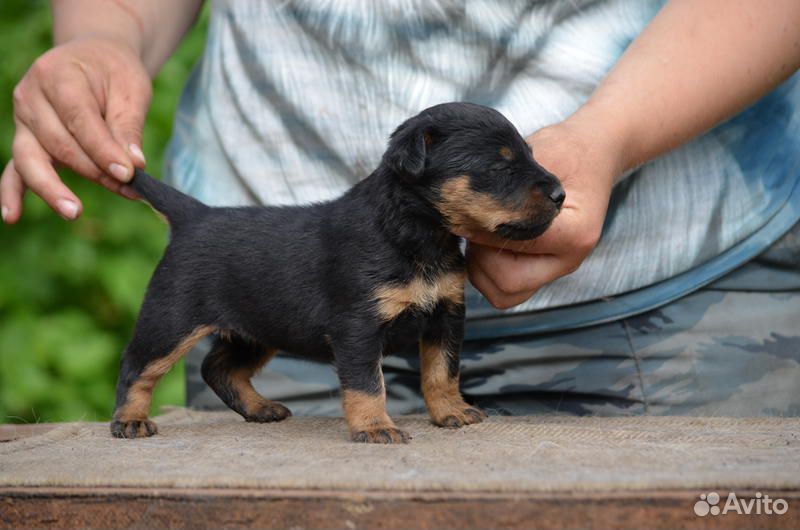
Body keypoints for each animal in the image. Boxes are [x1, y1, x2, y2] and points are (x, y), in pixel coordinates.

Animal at [111, 101, 564, 440]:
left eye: (530, 156)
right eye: (500, 167)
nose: (561, 193)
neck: (418, 235)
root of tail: (195, 216)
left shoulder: (446, 316)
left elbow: (443, 371)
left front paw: (451, 411)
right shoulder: (357, 326)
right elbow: (368, 383)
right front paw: (375, 428)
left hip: (258, 329)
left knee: (218, 368)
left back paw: (260, 408)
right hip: (171, 320)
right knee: (137, 367)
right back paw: (130, 421)